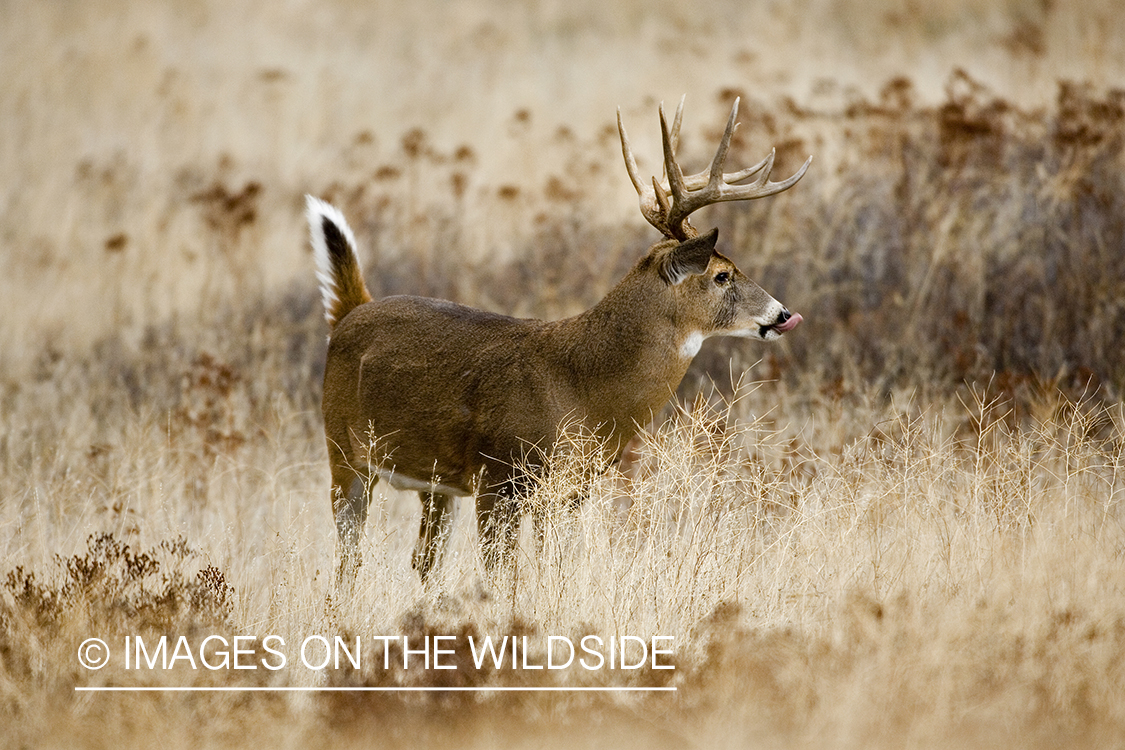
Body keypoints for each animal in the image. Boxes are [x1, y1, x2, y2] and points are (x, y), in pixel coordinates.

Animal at [303, 96, 805, 584]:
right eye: (722, 275)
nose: (781, 313)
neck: (580, 386)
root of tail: (350, 313)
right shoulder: (499, 475)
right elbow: (503, 577)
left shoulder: (568, 491)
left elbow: (551, 571)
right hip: (343, 449)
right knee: (349, 556)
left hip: (433, 481)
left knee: (423, 561)